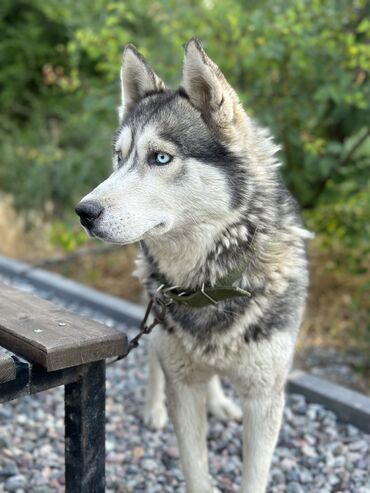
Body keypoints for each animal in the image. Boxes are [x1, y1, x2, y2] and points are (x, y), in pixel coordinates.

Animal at [75, 39, 310, 492]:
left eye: (161, 157)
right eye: (119, 157)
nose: (84, 212)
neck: (211, 284)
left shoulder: (264, 397)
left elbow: (255, 475)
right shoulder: (182, 386)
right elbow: (194, 466)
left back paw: (219, 402)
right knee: (153, 356)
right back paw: (153, 409)